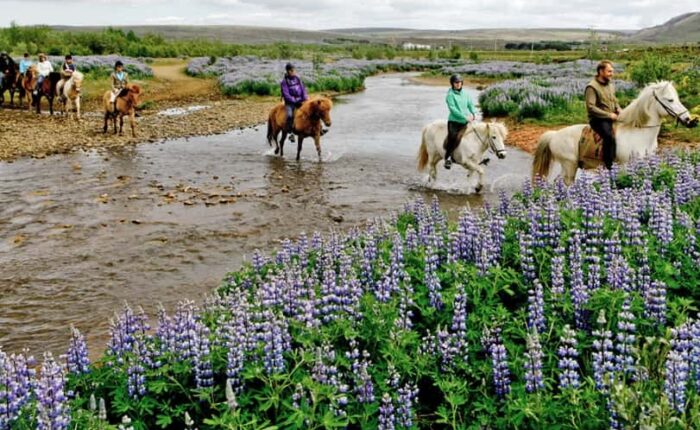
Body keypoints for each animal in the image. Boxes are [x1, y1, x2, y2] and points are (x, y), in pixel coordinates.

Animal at [532, 80, 696, 185]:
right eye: (670, 100)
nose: (689, 119)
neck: (638, 133)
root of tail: (554, 135)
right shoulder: (624, 166)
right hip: (569, 165)